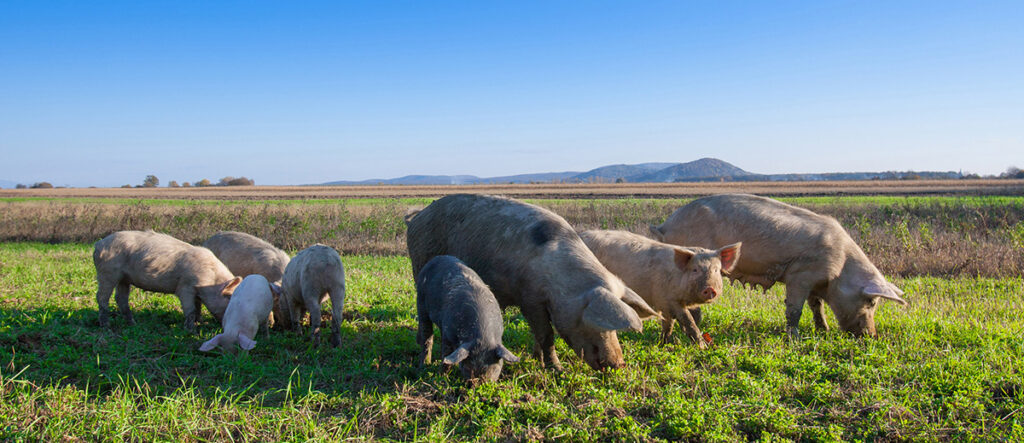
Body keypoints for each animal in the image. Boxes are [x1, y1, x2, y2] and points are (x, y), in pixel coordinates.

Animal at [92, 231, 241, 331]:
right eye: (229, 296)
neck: (210, 280)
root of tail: (98, 244)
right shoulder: (185, 286)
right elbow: (191, 309)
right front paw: (191, 330)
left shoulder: (197, 291)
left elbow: (198, 306)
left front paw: (200, 322)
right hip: (107, 272)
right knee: (101, 297)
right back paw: (106, 326)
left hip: (124, 278)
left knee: (120, 298)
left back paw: (132, 323)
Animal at [403, 193, 659, 370]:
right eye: (597, 323)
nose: (618, 364)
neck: (561, 282)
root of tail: (417, 217)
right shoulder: (529, 298)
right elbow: (546, 334)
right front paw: (557, 369)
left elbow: (539, 334)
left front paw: (538, 359)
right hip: (419, 262)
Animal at [581, 229, 741, 347]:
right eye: (695, 269)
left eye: (716, 270)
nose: (709, 288)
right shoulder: (668, 299)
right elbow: (687, 320)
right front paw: (702, 347)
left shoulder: (666, 304)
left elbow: (670, 323)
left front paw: (663, 344)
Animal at [651, 192, 909, 335]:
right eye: (872, 301)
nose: (871, 335)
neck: (839, 269)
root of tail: (665, 225)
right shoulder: (800, 274)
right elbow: (794, 308)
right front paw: (794, 337)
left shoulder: (814, 280)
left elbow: (816, 306)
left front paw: (823, 330)